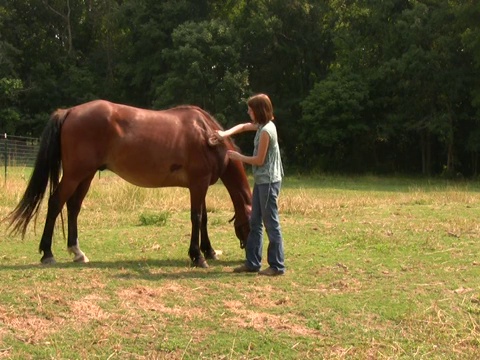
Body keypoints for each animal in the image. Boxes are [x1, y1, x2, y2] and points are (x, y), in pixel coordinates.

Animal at [6, 99, 251, 268]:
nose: (249, 254)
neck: (206, 134)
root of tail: (69, 111)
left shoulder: (200, 185)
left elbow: (204, 219)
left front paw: (209, 251)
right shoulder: (198, 183)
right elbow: (197, 218)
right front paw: (198, 256)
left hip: (86, 175)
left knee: (73, 206)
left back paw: (77, 252)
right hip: (75, 174)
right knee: (56, 202)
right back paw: (47, 253)